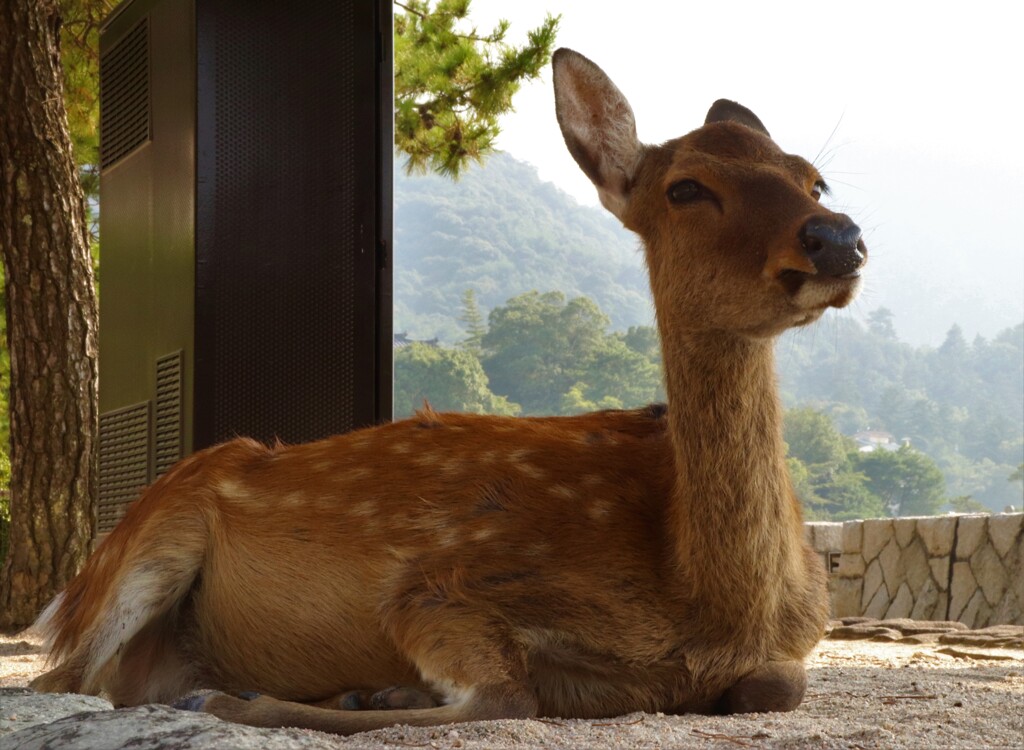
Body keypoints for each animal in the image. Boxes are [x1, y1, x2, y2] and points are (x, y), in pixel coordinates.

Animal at [28, 49, 864, 733]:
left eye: (812, 177)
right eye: (686, 187)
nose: (837, 236)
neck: (712, 608)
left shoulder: (795, 644)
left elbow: (777, 687)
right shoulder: (440, 586)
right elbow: (506, 696)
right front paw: (239, 702)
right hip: (145, 540)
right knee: (59, 679)